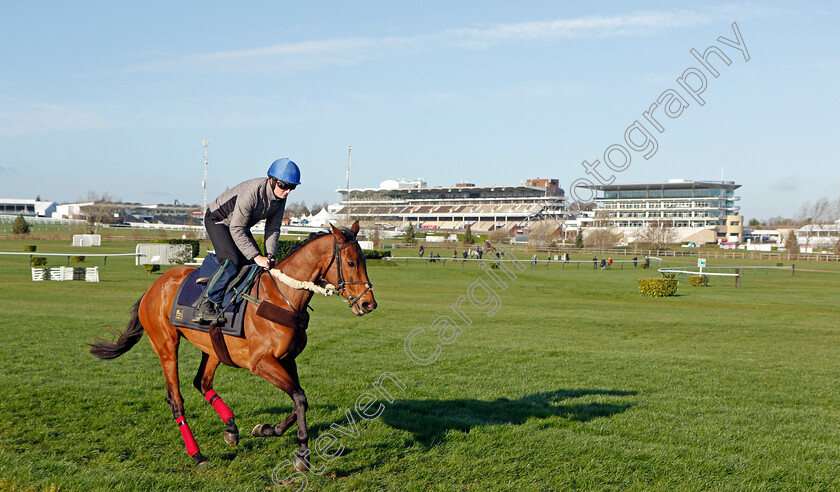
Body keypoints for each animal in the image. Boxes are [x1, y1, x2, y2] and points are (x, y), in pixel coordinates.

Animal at [88, 222, 374, 468]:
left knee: (202, 382)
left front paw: (266, 429)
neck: (281, 297)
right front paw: (302, 454)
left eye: (364, 261)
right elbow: (300, 398)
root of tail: (154, 286)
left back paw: (231, 428)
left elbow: (299, 399)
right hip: (166, 345)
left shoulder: (287, 359)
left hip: (212, 347)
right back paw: (198, 455)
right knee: (176, 399)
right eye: (351, 262)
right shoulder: (261, 363)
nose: (368, 303)